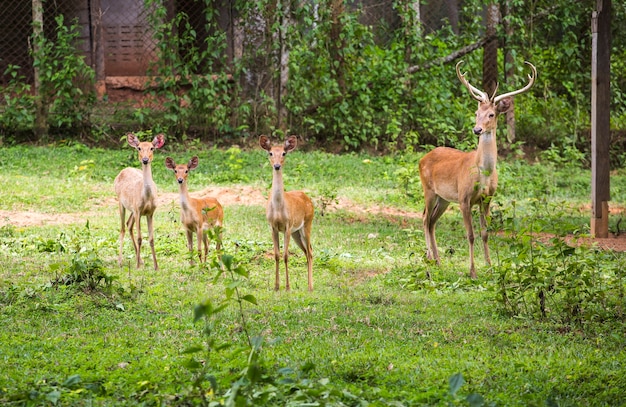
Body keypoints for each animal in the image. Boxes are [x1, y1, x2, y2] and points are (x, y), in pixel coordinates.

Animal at [114, 133, 165, 270]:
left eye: (152, 148)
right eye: (139, 148)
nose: (145, 159)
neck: (146, 197)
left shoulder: (150, 212)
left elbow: (151, 239)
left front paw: (156, 266)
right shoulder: (138, 211)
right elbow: (140, 238)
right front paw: (137, 267)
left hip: (132, 210)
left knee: (128, 224)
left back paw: (140, 259)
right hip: (121, 202)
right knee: (122, 228)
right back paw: (120, 261)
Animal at [258, 137, 312, 294]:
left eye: (284, 153)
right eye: (270, 153)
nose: (277, 166)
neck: (278, 209)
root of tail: (307, 198)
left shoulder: (288, 225)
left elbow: (286, 256)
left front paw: (287, 287)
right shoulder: (272, 227)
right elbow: (276, 255)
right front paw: (276, 286)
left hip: (307, 224)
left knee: (310, 252)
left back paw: (310, 286)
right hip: (296, 233)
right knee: (306, 251)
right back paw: (308, 285)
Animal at [416, 60, 532, 278]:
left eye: (491, 114)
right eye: (476, 113)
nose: (477, 129)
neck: (484, 173)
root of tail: (422, 158)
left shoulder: (487, 199)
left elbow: (485, 233)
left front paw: (490, 266)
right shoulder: (464, 198)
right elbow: (470, 235)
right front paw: (472, 271)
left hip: (444, 198)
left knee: (432, 221)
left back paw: (438, 260)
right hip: (428, 188)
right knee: (425, 218)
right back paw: (429, 258)